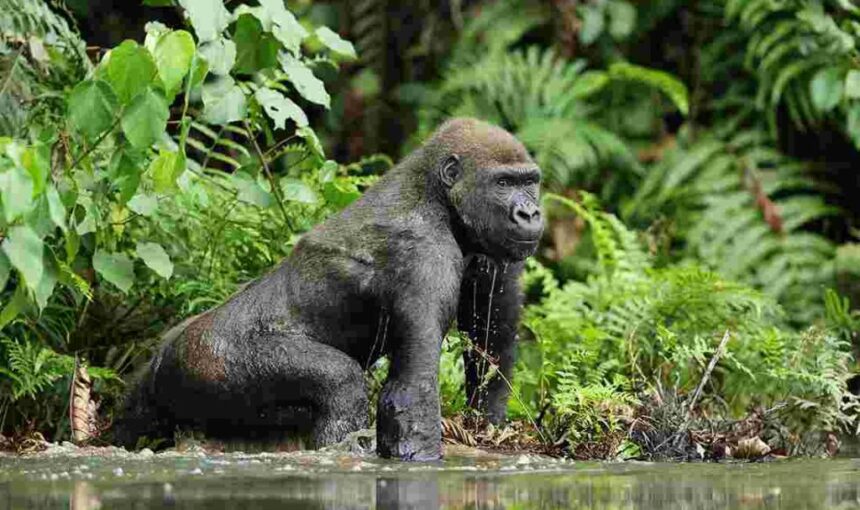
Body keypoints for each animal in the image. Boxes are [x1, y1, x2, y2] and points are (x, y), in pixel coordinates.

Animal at [114, 117, 544, 460]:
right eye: (503, 182)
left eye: (530, 182)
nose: (530, 213)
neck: (436, 192)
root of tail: (160, 357)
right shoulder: (425, 253)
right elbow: (410, 393)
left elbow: (490, 339)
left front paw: (487, 424)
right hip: (206, 358)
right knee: (341, 384)